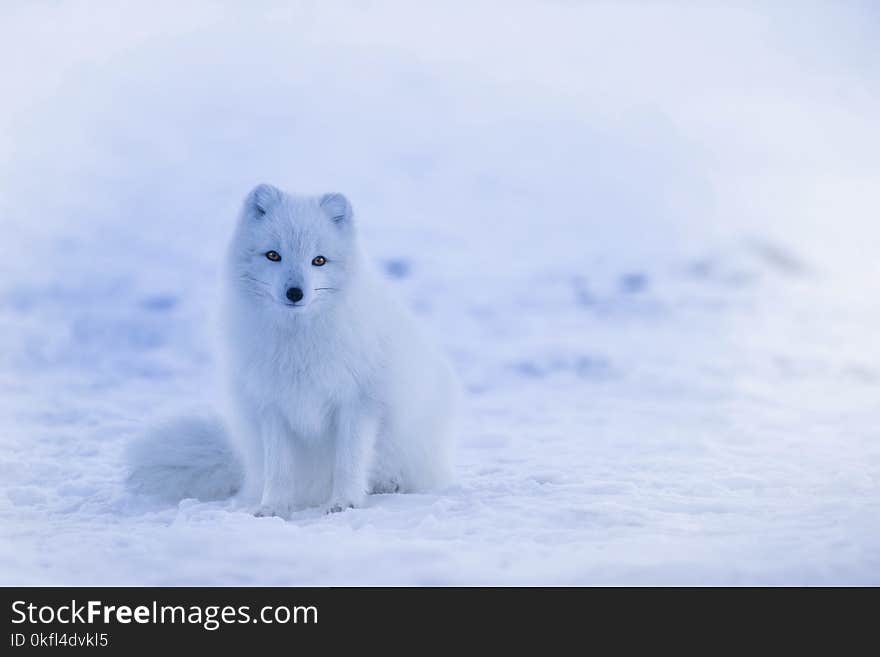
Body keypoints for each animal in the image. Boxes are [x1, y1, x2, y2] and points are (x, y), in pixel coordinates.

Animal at [131, 182, 464, 516]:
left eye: (319, 260)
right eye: (273, 255)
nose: (294, 292)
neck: (298, 342)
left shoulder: (358, 403)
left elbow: (348, 462)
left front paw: (344, 502)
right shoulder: (272, 406)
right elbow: (279, 469)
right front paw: (273, 507)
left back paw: (389, 484)